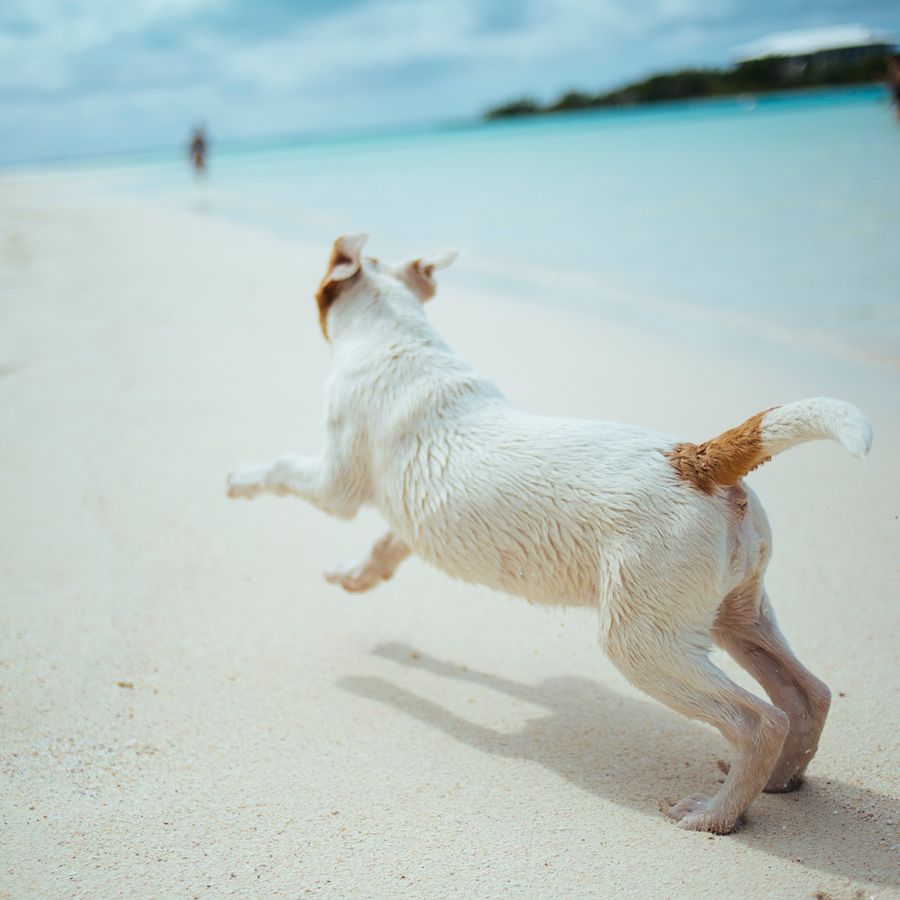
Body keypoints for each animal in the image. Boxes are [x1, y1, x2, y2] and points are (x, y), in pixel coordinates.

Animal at [225, 234, 872, 836]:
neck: (399, 338)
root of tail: (696, 459)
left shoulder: (336, 482)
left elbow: (283, 470)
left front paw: (238, 480)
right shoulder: (410, 513)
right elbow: (388, 543)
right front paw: (357, 576)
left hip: (643, 641)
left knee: (757, 720)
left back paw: (715, 814)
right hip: (736, 615)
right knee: (807, 694)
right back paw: (783, 780)